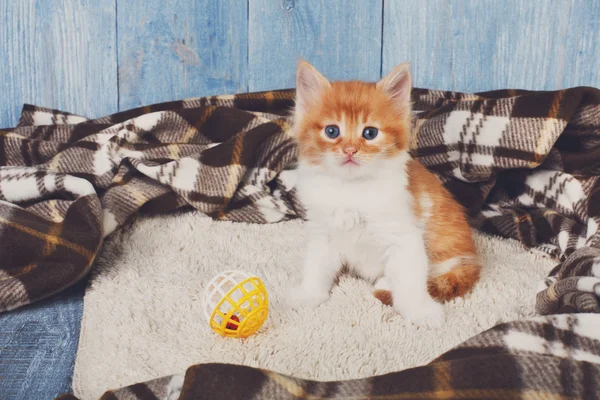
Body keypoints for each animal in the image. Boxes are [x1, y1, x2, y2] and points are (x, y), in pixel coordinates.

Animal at [288, 60, 480, 328]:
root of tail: (472, 256)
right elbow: (316, 267)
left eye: (370, 133)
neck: (351, 189)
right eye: (332, 131)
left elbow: (410, 281)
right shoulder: (323, 233)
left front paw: (420, 311)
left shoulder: (405, 237)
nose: (350, 150)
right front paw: (308, 295)